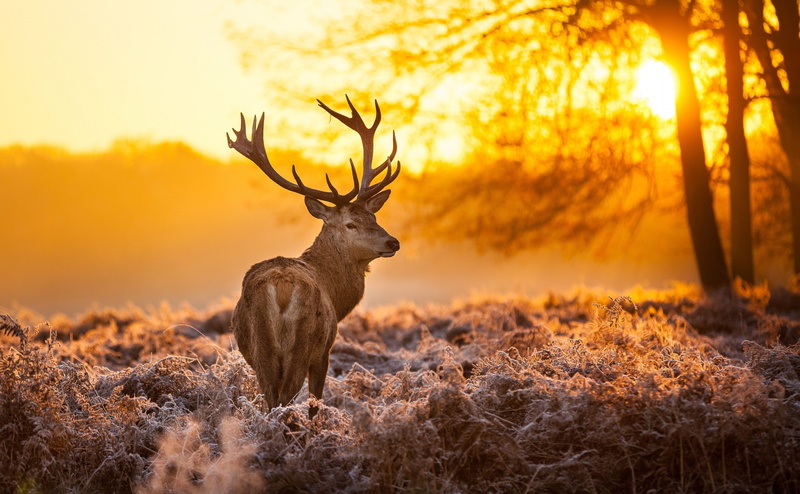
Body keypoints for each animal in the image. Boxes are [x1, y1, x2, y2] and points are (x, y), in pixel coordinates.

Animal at [226, 96, 401, 418]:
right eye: (351, 224)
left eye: (373, 216)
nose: (392, 241)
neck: (335, 292)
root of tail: (281, 286)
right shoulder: (325, 351)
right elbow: (315, 404)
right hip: (303, 343)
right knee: (285, 399)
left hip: (260, 348)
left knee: (271, 398)